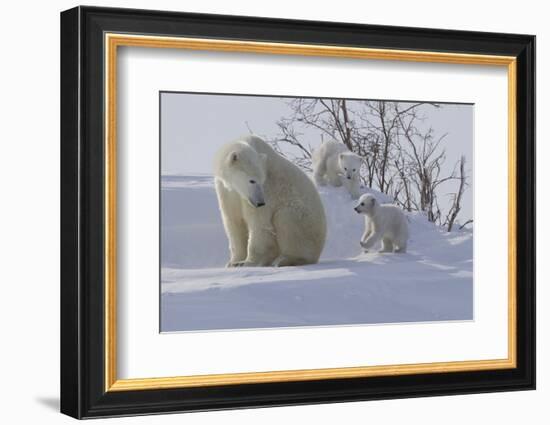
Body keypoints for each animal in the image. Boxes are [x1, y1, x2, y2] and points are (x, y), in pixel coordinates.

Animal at [216, 134, 328, 266]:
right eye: (252, 180)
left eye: (261, 180)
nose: (260, 203)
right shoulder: (227, 192)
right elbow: (233, 222)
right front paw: (233, 262)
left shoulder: (267, 190)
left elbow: (260, 224)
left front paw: (248, 262)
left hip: (306, 222)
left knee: (286, 220)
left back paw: (284, 260)